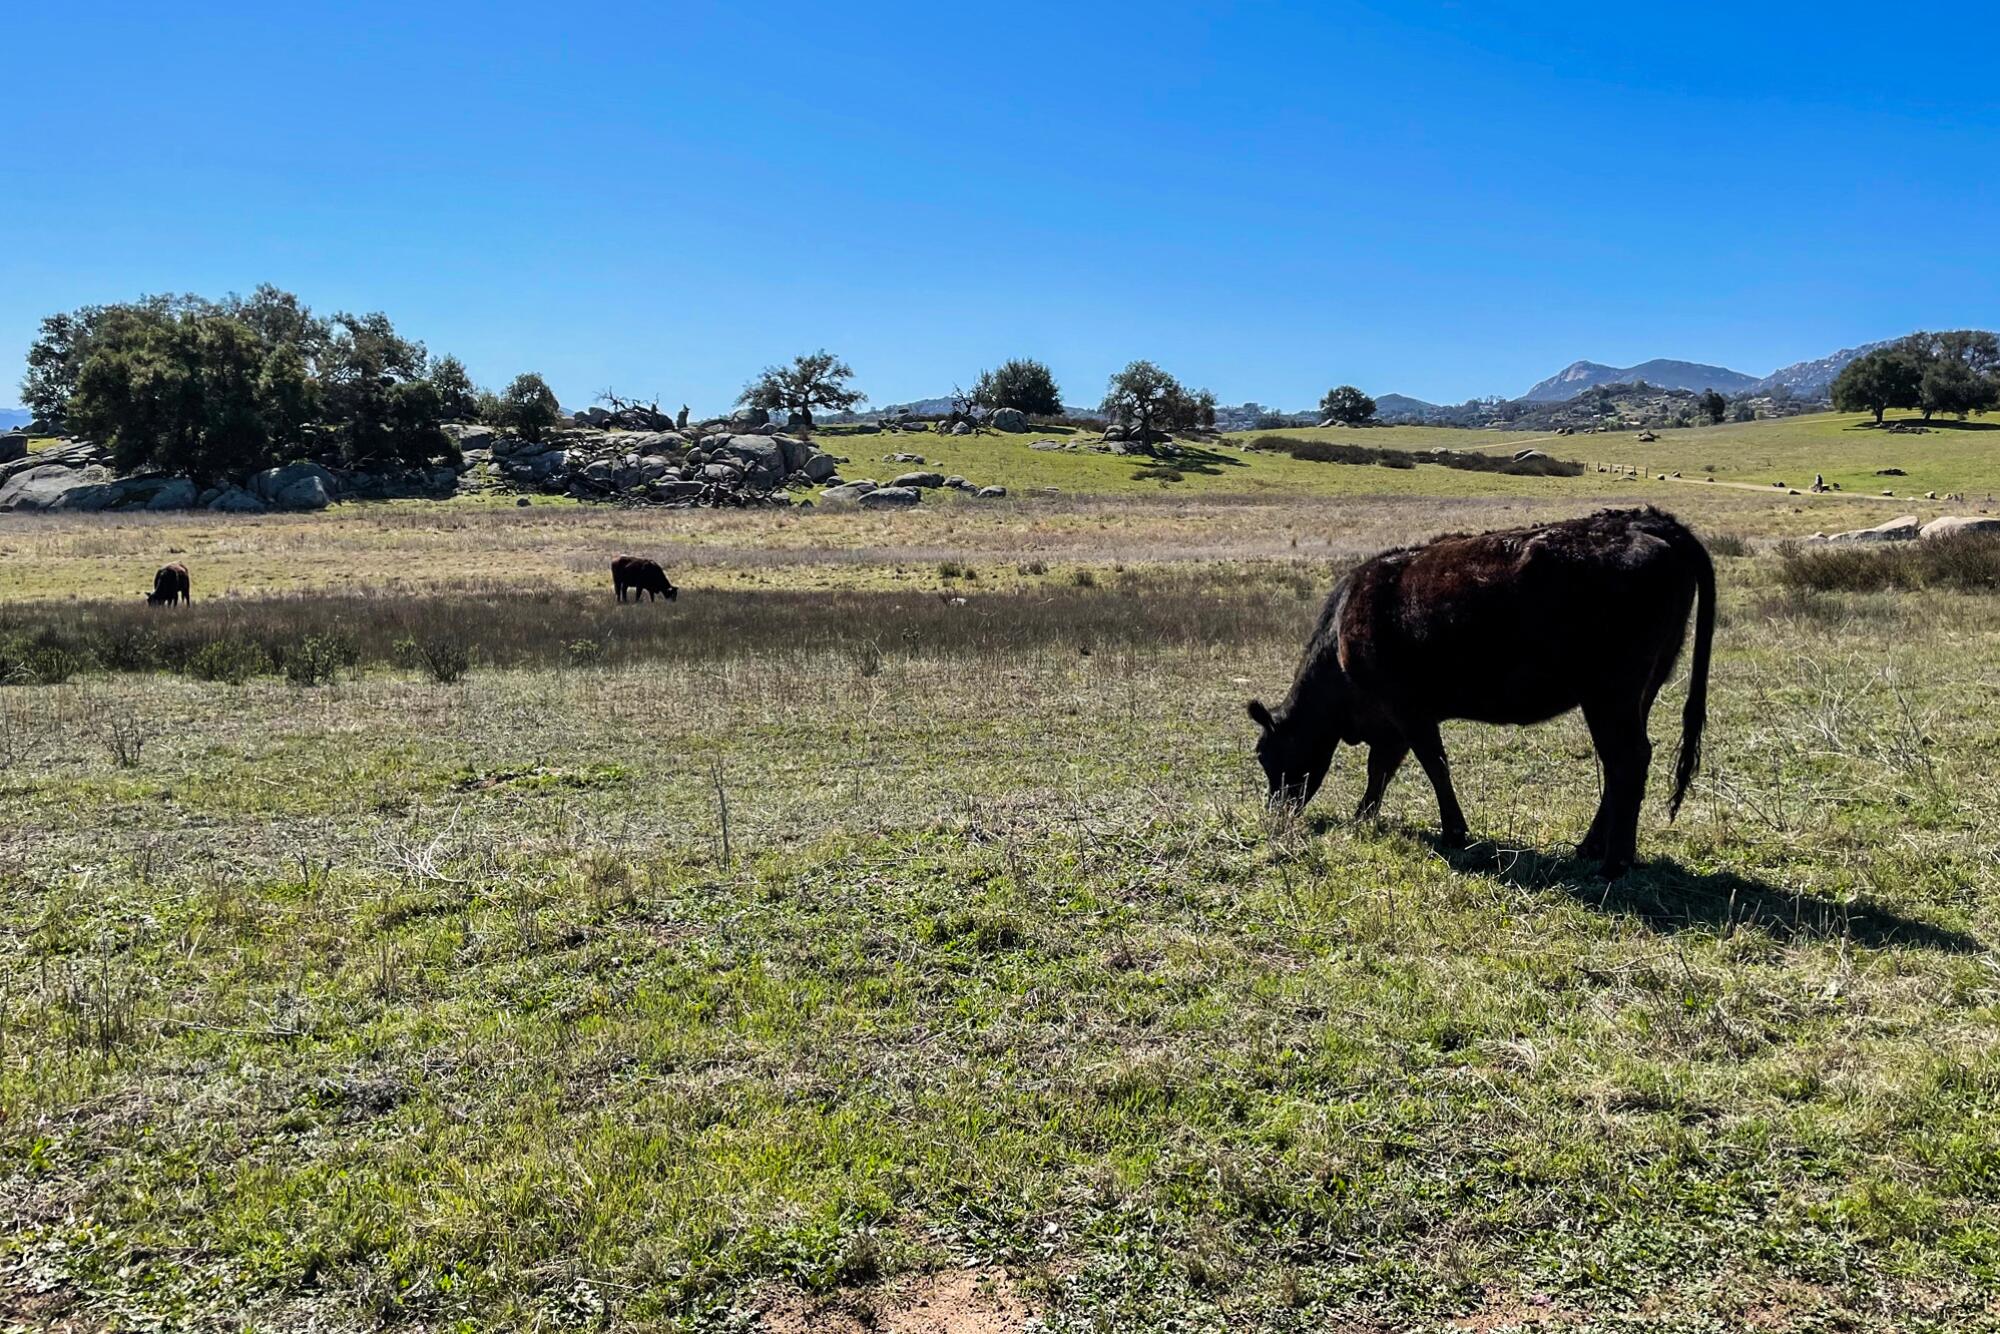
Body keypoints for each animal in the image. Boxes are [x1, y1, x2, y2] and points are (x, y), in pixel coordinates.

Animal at [1240, 506, 1712, 880]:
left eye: (1265, 754)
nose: (1275, 812)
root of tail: (1646, 519)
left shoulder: (1406, 709)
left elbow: (1432, 765)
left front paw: (1453, 832)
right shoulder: (1391, 722)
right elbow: (1383, 770)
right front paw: (1364, 817)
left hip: (1609, 693)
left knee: (1626, 761)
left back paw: (1614, 864)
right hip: (1640, 692)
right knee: (1623, 764)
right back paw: (1591, 848)